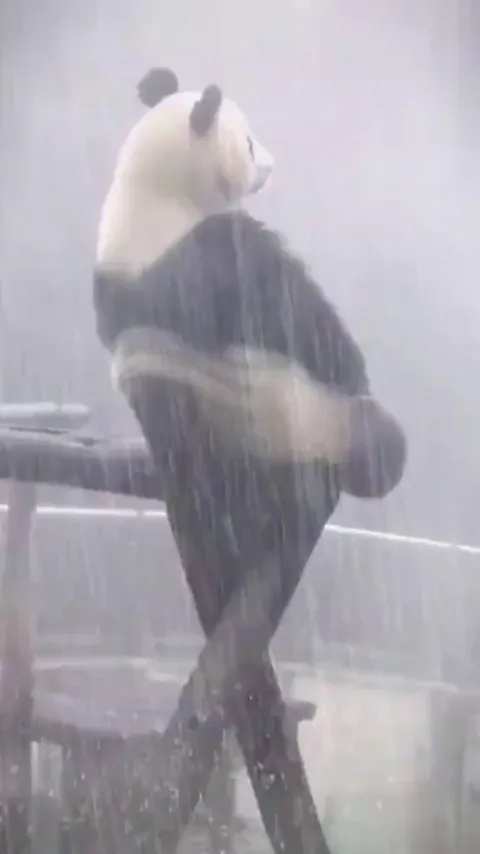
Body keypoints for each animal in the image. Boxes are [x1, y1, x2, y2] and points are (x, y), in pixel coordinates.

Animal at [93, 66, 406, 848]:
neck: (150, 196)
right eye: (250, 138)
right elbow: (311, 326)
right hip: (303, 426)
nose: (273, 164)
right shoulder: (215, 254)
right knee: (376, 442)